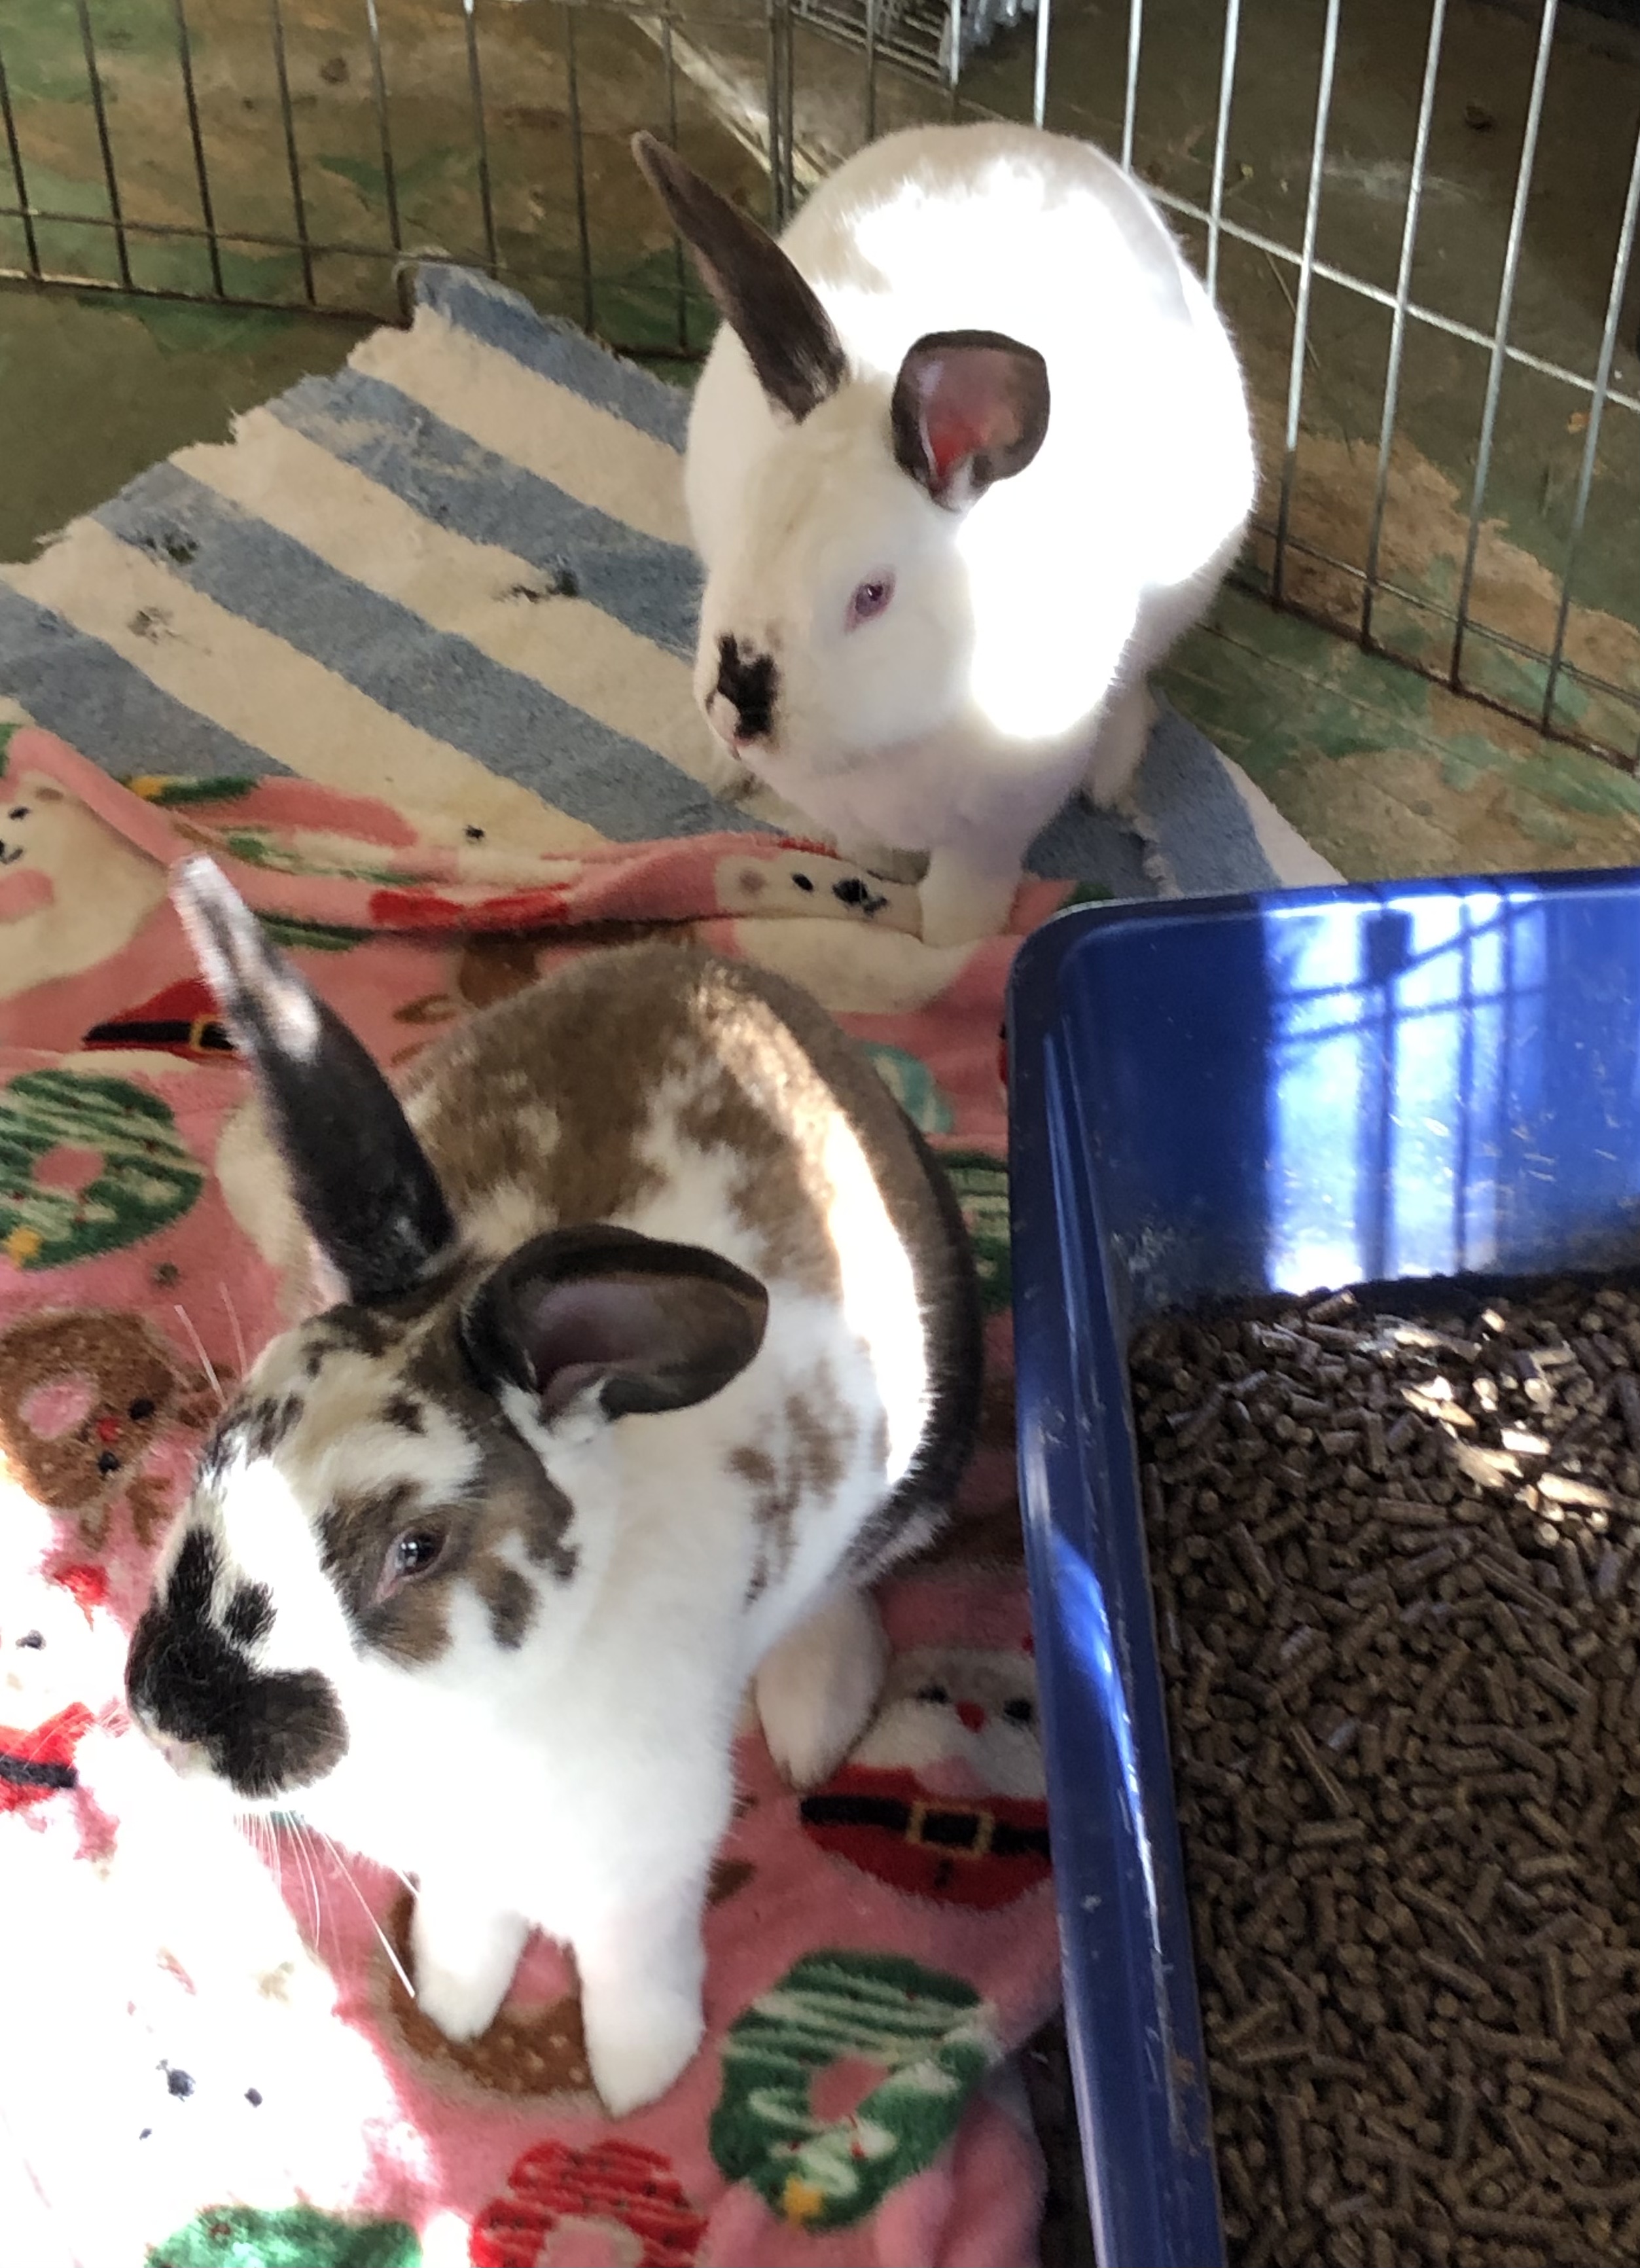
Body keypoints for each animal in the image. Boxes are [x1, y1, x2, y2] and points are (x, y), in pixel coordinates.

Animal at [125, 859, 982, 2116]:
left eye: (416, 1551)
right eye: (215, 1458)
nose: (172, 1724)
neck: (485, 1719)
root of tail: (732, 976)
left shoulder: (649, 1870)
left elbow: (633, 1965)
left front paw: (640, 2075)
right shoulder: (462, 1864)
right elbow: (471, 1922)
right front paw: (454, 1995)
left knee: (843, 1587)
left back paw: (814, 1714)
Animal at [634, 122, 1256, 945]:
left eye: (872, 594)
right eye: (746, 526)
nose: (738, 709)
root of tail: (1023, 135)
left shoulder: (997, 827)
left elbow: (967, 891)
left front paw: (956, 944)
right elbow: (868, 850)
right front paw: (881, 878)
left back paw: (1111, 772)